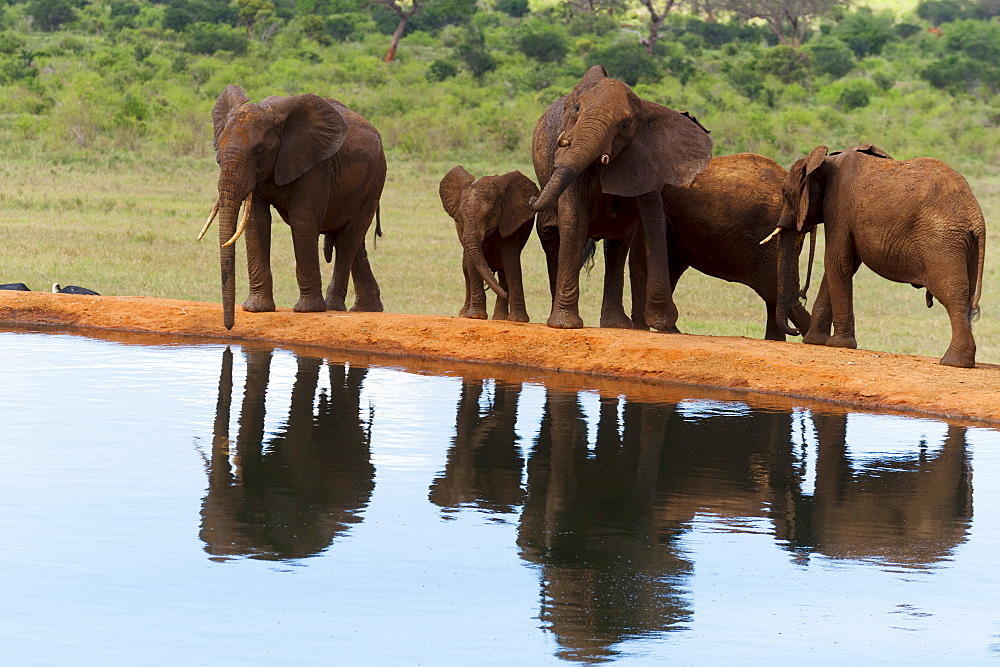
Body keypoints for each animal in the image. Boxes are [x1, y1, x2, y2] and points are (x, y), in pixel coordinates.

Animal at [201, 86, 384, 332]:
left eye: (259, 150)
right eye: (218, 149)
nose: (229, 327)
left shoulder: (314, 166)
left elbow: (303, 221)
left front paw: (308, 310)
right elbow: (257, 222)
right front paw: (256, 309)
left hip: (374, 181)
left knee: (349, 239)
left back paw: (334, 307)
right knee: (355, 241)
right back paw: (366, 309)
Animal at [440, 167, 540, 324]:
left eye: (489, 216)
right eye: (460, 218)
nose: (506, 294)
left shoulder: (509, 220)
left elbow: (511, 262)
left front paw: (518, 320)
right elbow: (471, 263)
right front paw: (476, 316)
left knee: (504, 270)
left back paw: (500, 317)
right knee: (465, 267)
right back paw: (464, 314)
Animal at [528, 65, 716, 332]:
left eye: (625, 125)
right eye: (577, 109)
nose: (532, 198)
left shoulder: (648, 159)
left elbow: (653, 222)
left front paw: (662, 322)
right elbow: (574, 221)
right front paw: (564, 325)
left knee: (617, 245)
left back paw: (617, 325)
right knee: (553, 236)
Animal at [768, 143, 988, 368]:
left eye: (785, 193)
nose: (796, 331)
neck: (825, 162)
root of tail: (976, 217)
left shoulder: (838, 210)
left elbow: (837, 263)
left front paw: (839, 344)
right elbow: (841, 267)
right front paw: (814, 341)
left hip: (943, 241)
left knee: (952, 294)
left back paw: (953, 362)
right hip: (967, 245)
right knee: (967, 297)